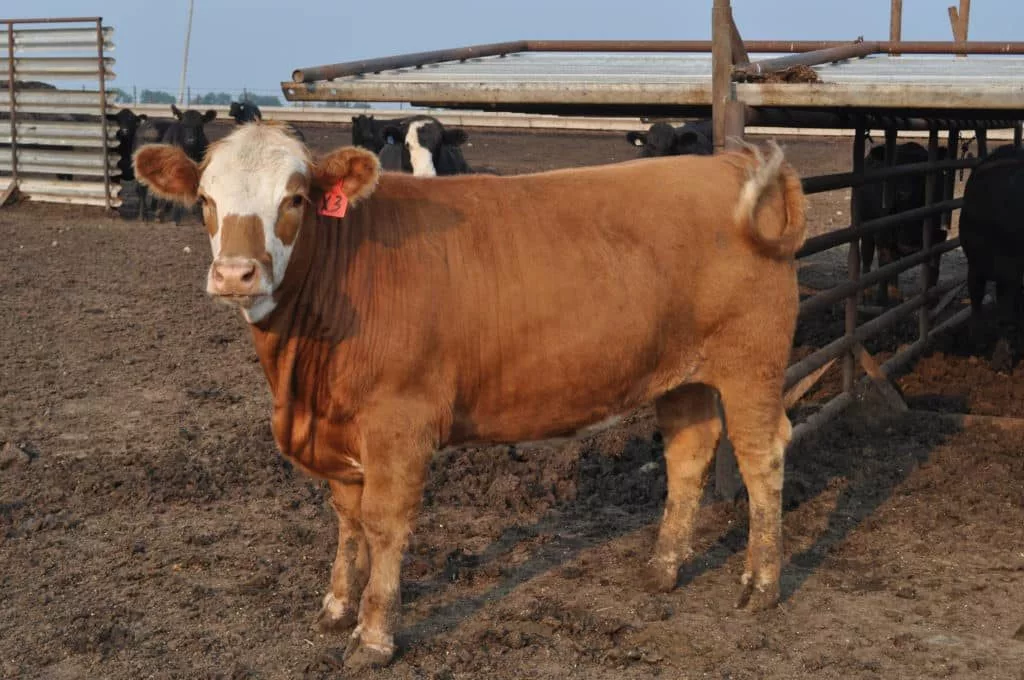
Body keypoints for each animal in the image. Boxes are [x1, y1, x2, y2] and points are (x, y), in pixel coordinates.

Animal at [133, 121, 806, 671]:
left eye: (294, 199)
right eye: (205, 201)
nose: (235, 274)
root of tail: (724, 165)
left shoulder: (399, 422)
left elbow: (384, 524)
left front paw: (373, 637)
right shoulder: (339, 430)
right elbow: (347, 522)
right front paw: (335, 606)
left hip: (751, 363)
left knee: (761, 454)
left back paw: (760, 584)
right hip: (681, 373)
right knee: (689, 452)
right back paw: (662, 570)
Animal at [857, 141, 949, 305]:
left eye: (921, 172)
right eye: (894, 168)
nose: (904, 193)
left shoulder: (939, 236)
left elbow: (933, 269)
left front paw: (932, 300)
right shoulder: (883, 235)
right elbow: (886, 268)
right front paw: (885, 299)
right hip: (866, 228)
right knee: (868, 259)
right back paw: (867, 296)